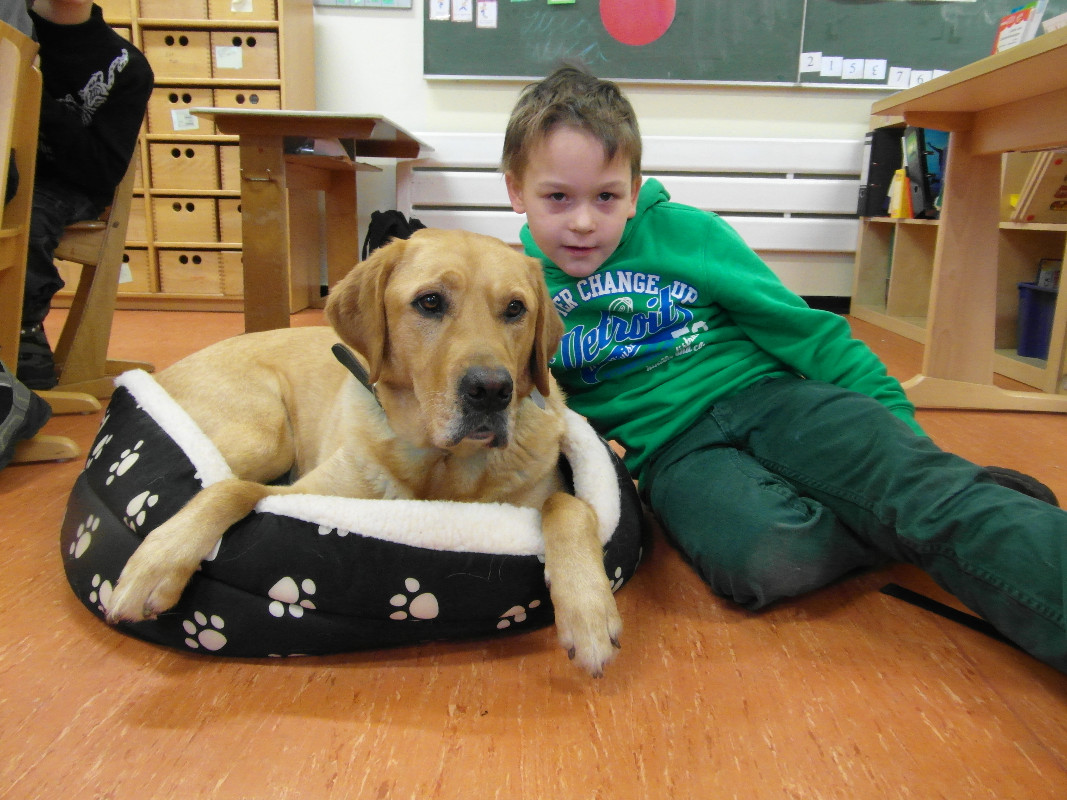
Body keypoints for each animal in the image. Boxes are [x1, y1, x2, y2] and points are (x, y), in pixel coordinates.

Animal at [105, 228, 622, 676]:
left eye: (515, 309)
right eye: (430, 301)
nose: (492, 390)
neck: (441, 467)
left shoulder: (542, 496)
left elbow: (570, 505)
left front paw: (589, 610)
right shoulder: (304, 492)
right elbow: (232, 490)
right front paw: (156, 563)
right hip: (266, 434)